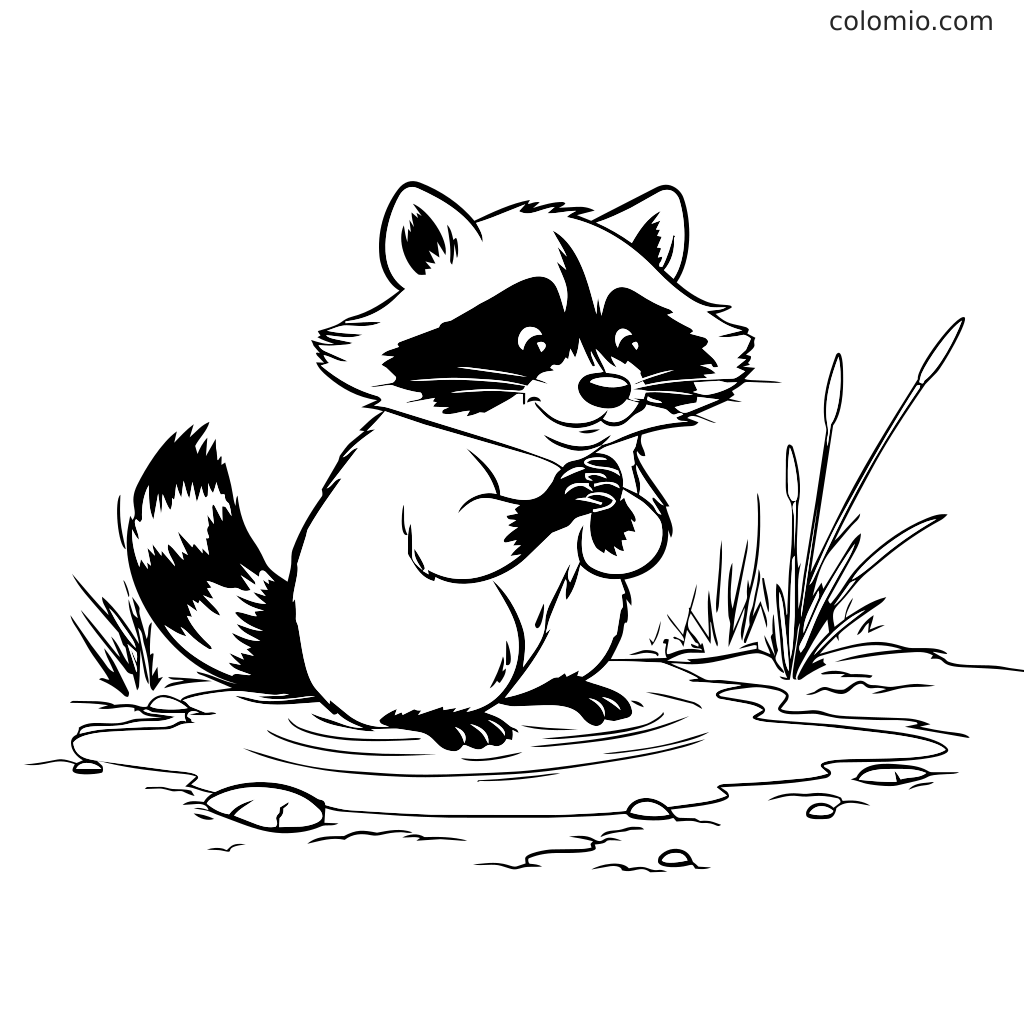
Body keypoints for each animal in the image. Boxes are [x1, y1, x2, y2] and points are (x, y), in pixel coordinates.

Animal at [127, 183, 752, 751]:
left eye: (631, 342)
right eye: (533, 342)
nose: (608, 390)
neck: (544, 448)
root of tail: (310, 657)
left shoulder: (626, 458)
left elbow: (637, 542)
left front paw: (615, 511)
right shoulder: (429, 465)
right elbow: (456, 536)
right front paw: (551, 503)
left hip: (583, 617)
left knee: (576, 624)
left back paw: (561, 685)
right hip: (418, 634)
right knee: (458, 640)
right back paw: (435, 715)